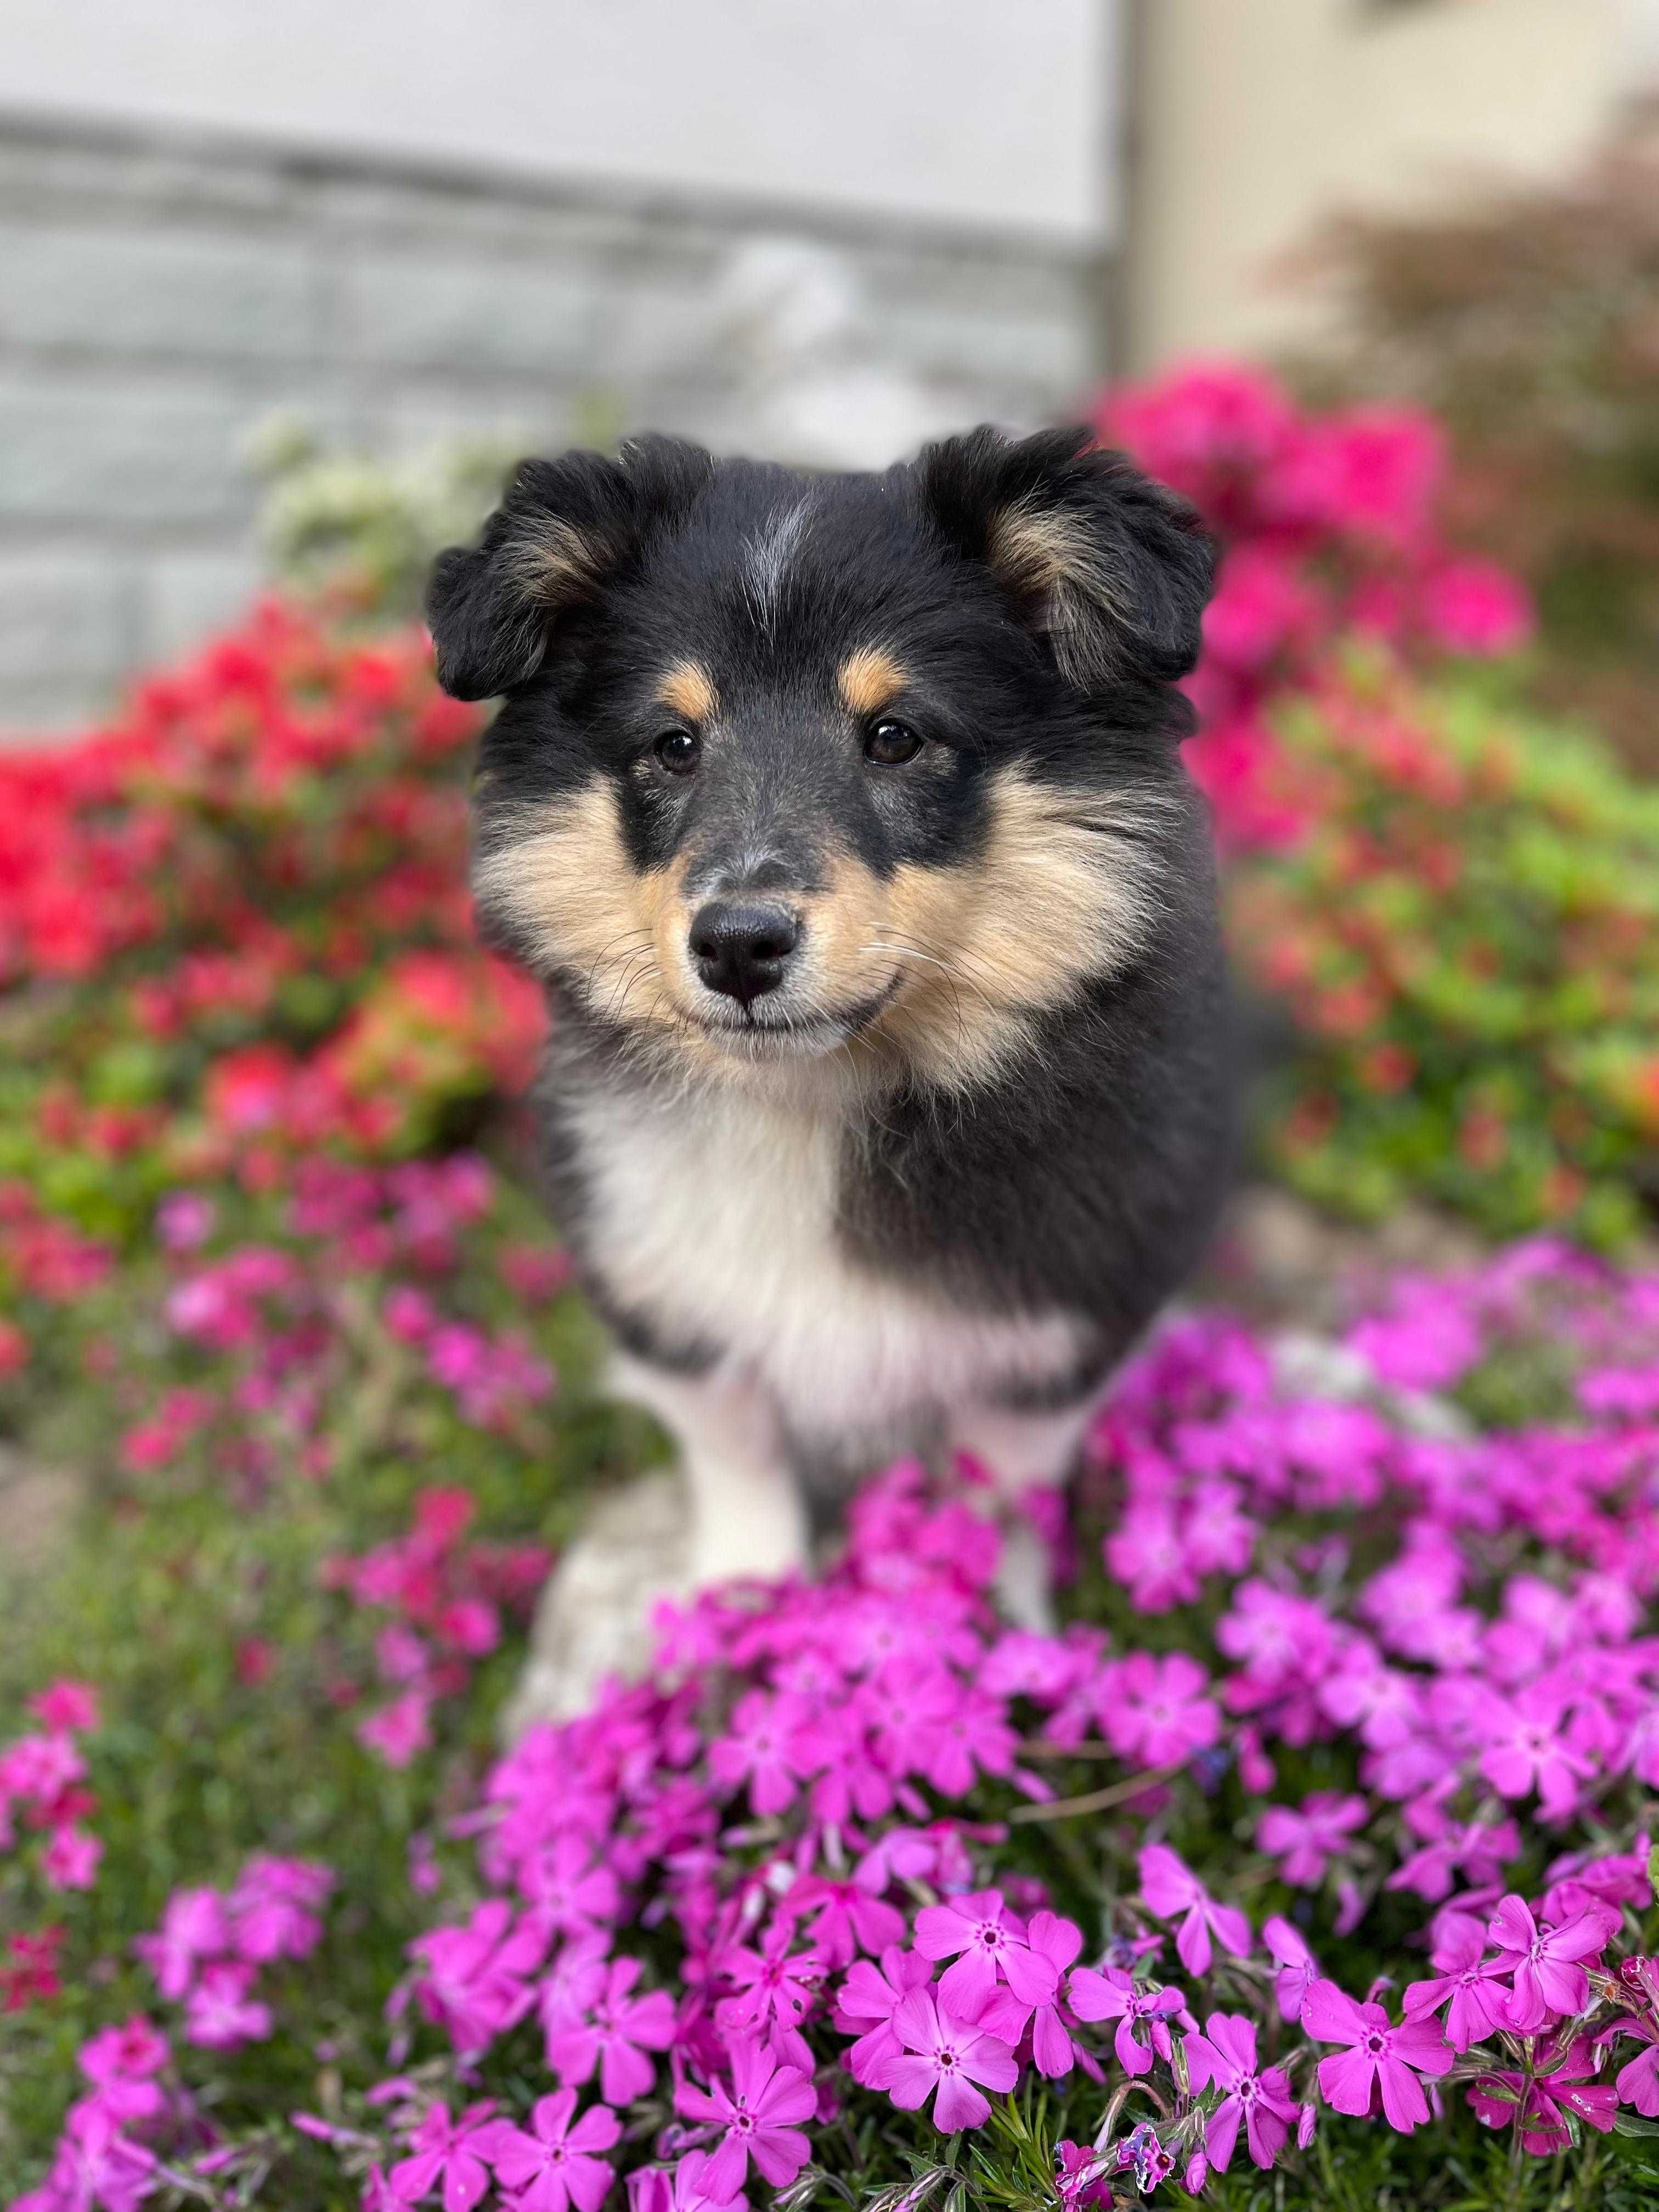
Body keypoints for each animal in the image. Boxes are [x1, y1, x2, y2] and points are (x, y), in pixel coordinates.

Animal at [429, 422, 1238, 1707]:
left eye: (895, 736)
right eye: (672, 746)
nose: (737, 945)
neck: (813, 1102)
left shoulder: (1060, 1316)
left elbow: (994, 1493)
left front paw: (987, 1640)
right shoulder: (669, 1297)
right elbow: (739, 1452)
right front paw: (742, 1612)